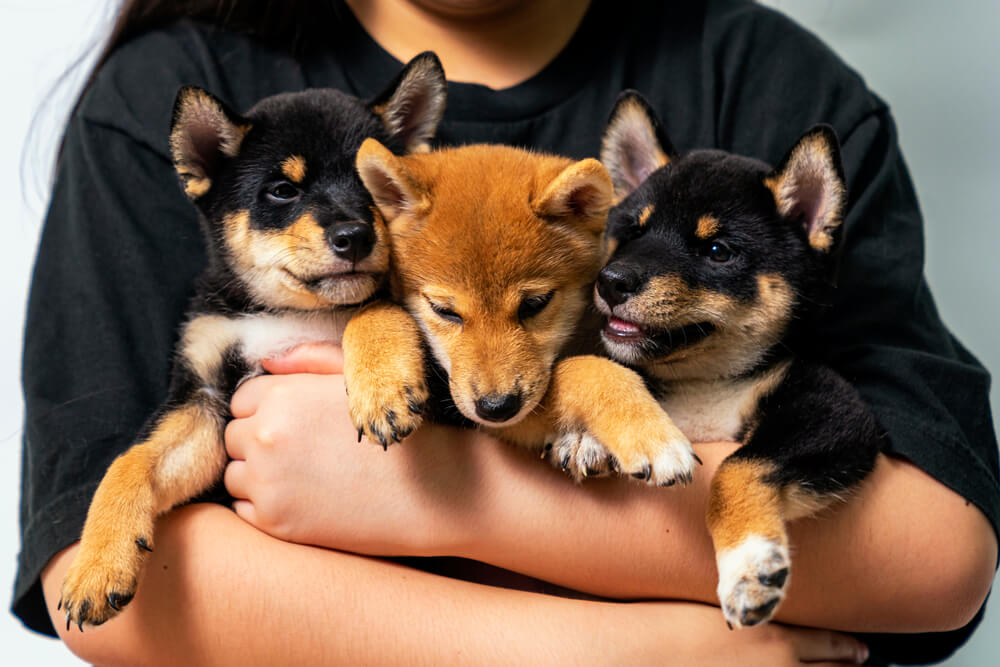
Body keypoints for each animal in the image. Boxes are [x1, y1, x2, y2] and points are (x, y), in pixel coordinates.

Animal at [56, 53, 444, 632]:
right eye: (283, 191)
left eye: (374, 185)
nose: (355, 236)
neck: (285, 312)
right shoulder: (203, 399)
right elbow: (128, 463)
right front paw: (97, 565)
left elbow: (374, 306)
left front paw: (383, 390)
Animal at [340, 141, 700, 486]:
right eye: (444, 311)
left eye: (535, 303)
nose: (496, 408)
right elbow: (372, 308)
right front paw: (381, 389)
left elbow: (583, 366)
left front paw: (646, 435)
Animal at [596, 91, 880, 628]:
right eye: (632, 233)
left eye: (717, 251)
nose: (611, 282)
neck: (706, 384)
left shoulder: (835, 410)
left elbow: (735, 469)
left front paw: (749, 566)